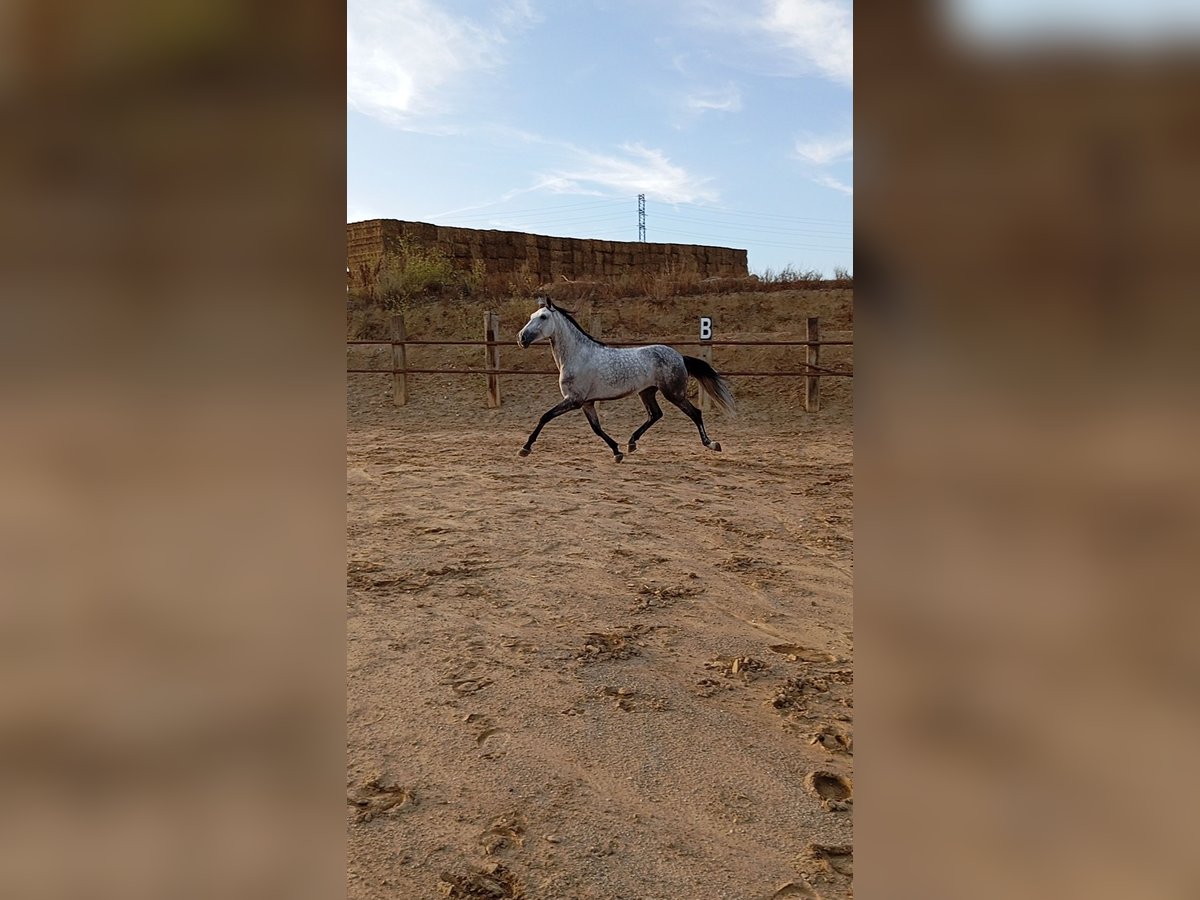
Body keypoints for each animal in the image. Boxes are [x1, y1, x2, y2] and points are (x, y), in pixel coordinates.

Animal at [513, 296, 729, 460]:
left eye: (543, 317)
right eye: (532, 316)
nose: (521, 338)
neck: (578, 355)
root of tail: (680, 356)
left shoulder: (574, 400)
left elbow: (545, 416)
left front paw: (525, 448)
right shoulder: (587, 403)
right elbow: (596, 428)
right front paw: (617, 451)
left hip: (673, 393)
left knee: (695, 413)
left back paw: (712, 443)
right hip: (647, 392)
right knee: (655, 414)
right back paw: (631, 443)